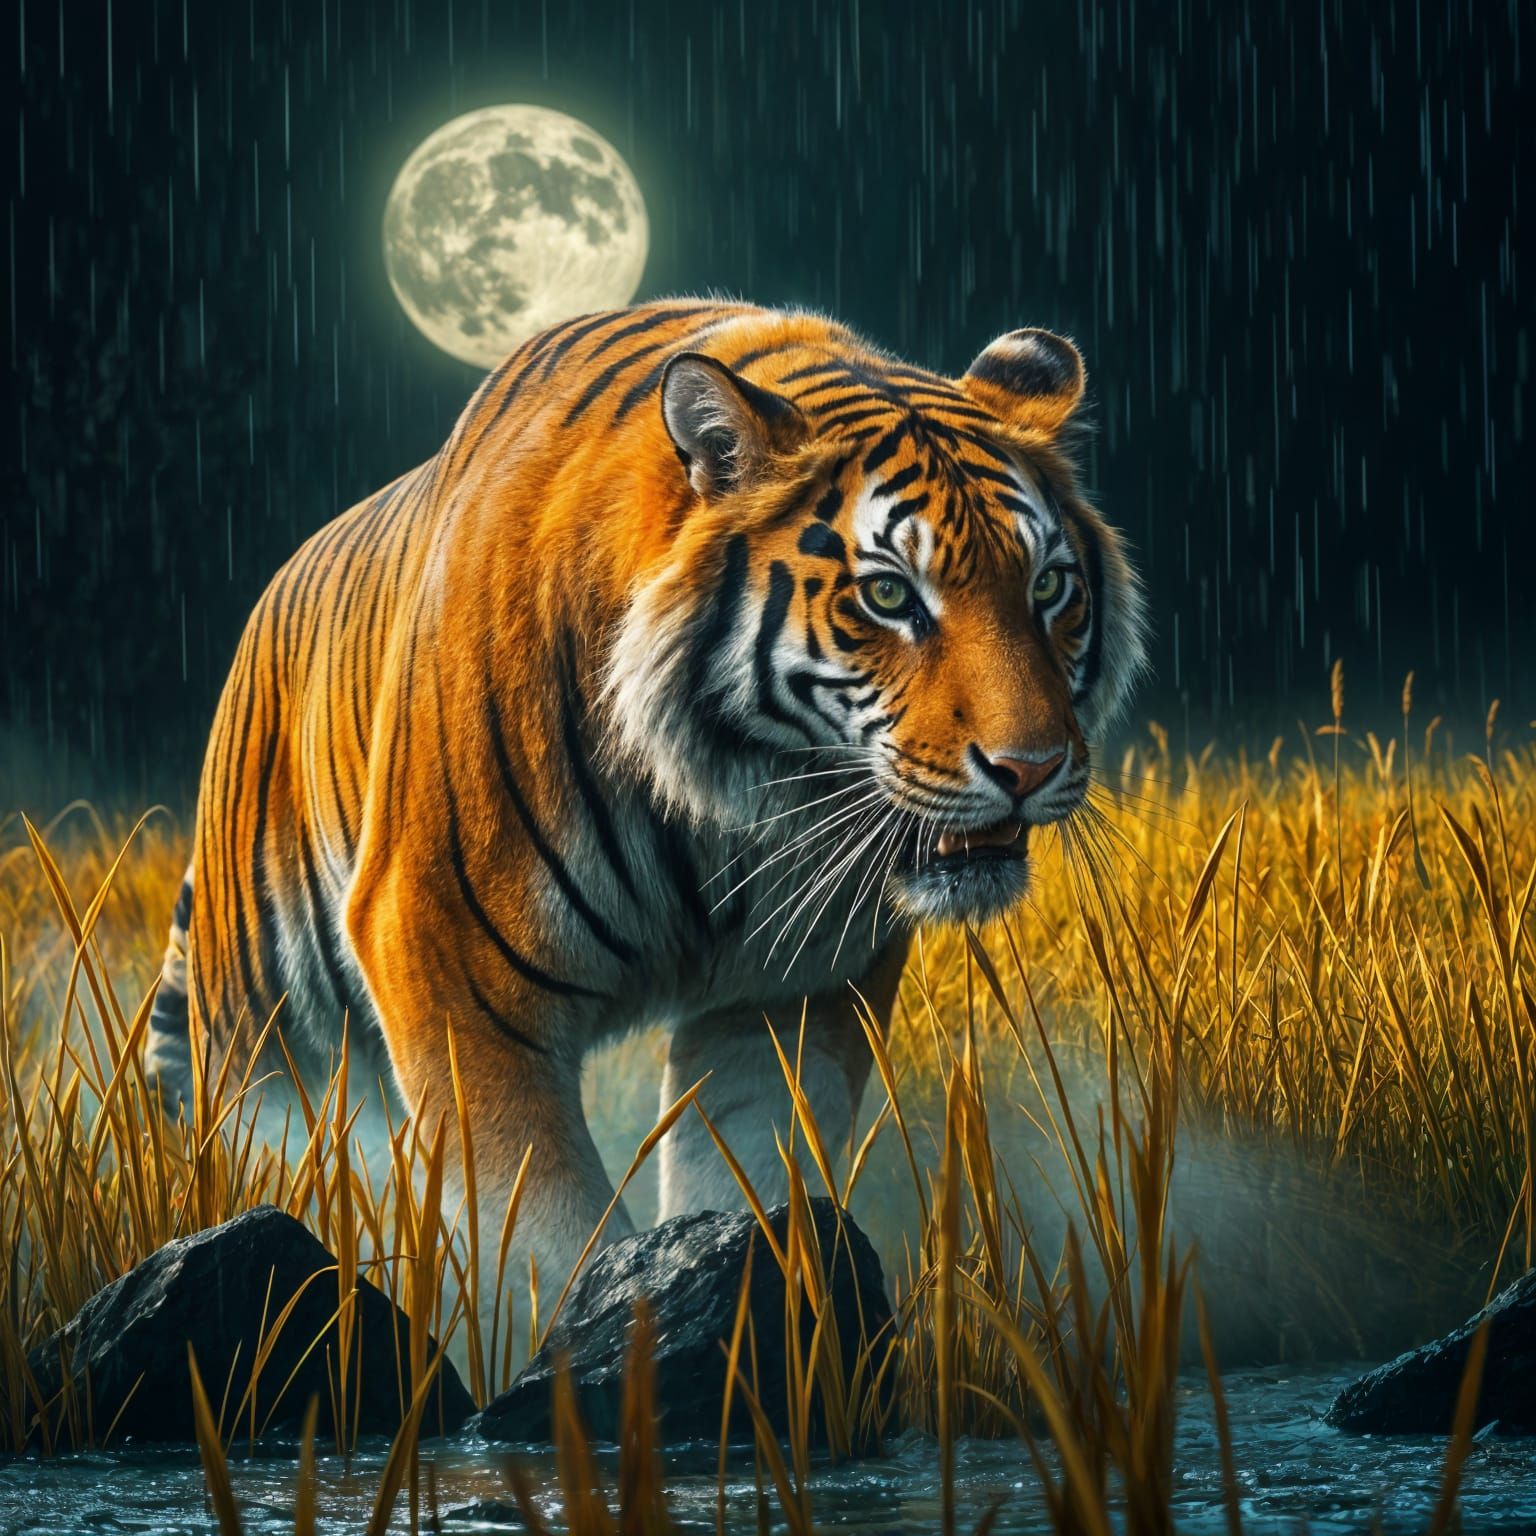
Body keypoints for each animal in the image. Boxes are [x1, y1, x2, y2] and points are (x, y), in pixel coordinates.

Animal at [144, 298, 1145, 1308]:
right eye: (890, 595)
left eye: (1048, 586)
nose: (1030, 767)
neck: (735, 803)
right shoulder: (442, 958)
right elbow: (540, 1239)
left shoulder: (787, 997)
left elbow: (750, 1175)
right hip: (259, 1025)